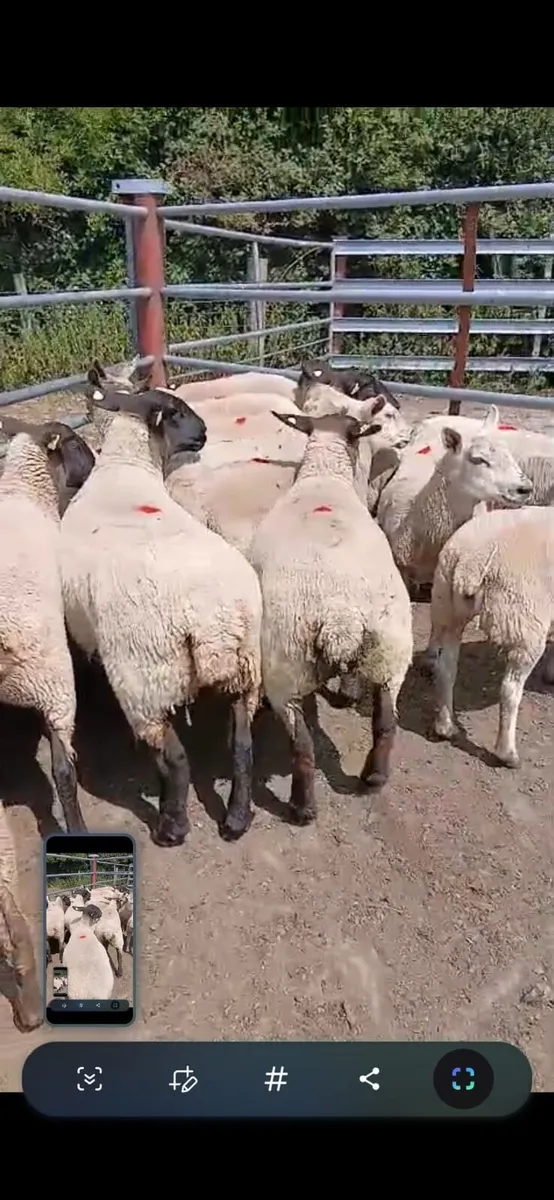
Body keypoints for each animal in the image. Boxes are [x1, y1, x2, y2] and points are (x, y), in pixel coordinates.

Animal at [60, 382, 263, 846]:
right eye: (177, 412)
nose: (204, 432)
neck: (125, 468)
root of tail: (213, 616)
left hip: (145, 676)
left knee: (174, 756)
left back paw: (172, 825)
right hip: (245, 668)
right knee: (242, 748)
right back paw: (237, 818)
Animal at [249, 410, 413, 819]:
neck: (323, 476)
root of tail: (341, 618)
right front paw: (348, 694)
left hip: (286, 669)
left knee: (302, 745)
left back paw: (302, 807)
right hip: (390, 654)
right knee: (386, 724)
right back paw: (374, 777)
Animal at [429, 504, 554, 767]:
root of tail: (469, 562)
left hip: (446, 605)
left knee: (446, 669)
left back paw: (445, 727)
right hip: (524, 623)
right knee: (509, 690)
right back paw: (507, 754)